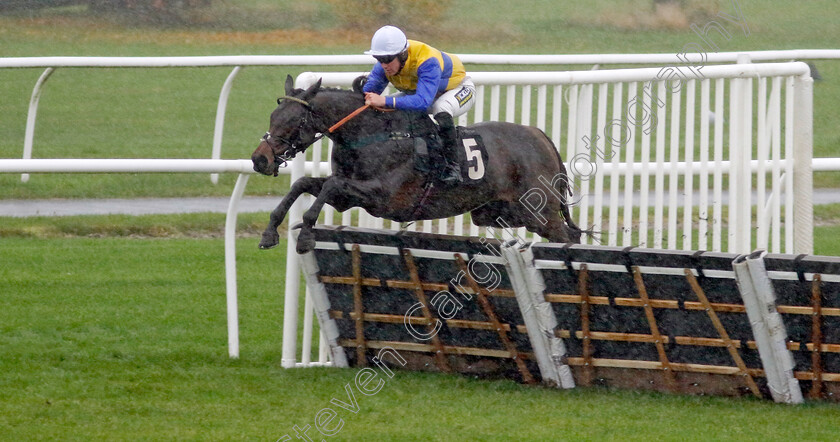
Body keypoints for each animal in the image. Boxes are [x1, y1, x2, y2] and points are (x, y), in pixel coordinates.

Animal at [251, 74, 576, 254]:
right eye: (272, 117)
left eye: (293, 121)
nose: (259, 159)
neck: (371, 134)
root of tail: (540, 135)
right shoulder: (348, 197)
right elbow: (303, 183)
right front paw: (270, 232)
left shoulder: (384, 196)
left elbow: (330, 184)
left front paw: (306, 235)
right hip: (499, 213)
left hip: (539, 212)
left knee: (563, 236)